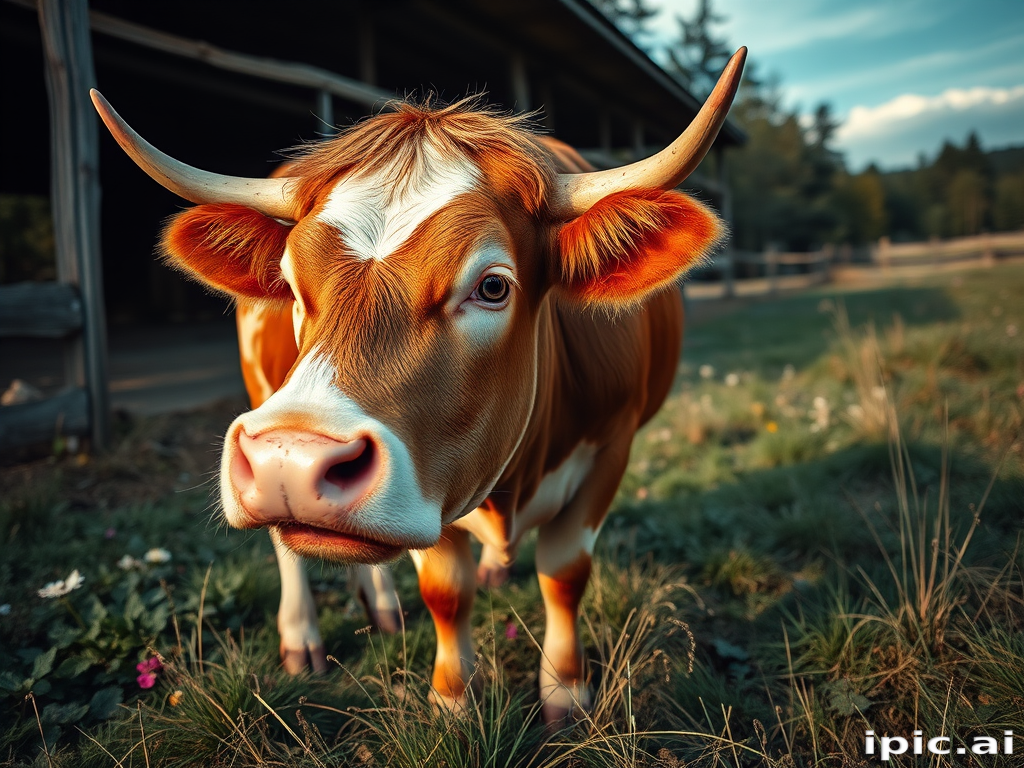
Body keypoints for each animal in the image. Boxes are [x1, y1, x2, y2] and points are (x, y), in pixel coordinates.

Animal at [90, 46, 745, 722]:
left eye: (492, 285)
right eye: (290, 282)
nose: (289, 460)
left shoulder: (612, 446)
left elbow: (563, 574)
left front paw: (566, 692)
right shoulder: (429, 481)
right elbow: (445, 591)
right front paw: (454, 702)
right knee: (289, 548)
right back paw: (306, 634)